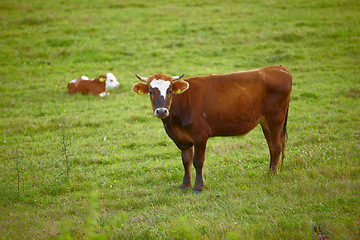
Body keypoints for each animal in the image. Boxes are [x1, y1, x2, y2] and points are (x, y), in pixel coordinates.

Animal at [132, 64, 292, 192]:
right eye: (151, 91)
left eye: (170, 90)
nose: (161, 111)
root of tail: (278, 67)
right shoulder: (183, 139)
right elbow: (186, 161)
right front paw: (185, 185)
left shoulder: (200, 136)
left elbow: (198, 161)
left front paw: (198, 187)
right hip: (265, 122)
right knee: (271, 146)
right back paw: (271, 171)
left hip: (275, 119)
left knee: (276, 146)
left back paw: (272, 175)